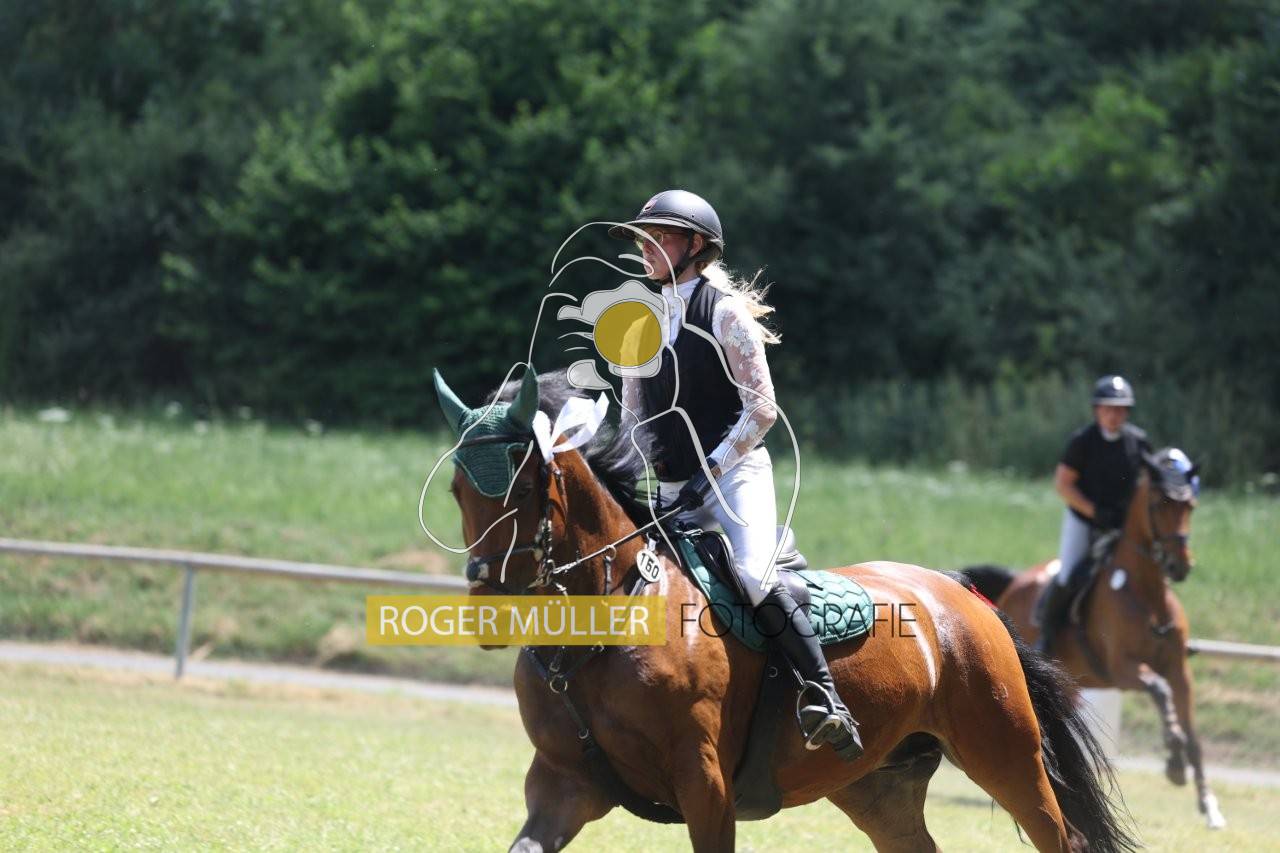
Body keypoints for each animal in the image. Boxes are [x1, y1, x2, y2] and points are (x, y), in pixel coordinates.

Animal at [432, 366, 1136, 852]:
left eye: (527, 484)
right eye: (457, 488)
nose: (489, 607)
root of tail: (961, 592)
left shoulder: (705, 785)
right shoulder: (561, 787)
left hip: (1006, 755)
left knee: (1062, 837)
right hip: (879, 786)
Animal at [960, 449, 1226, 829]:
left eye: (1190, 505)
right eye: (1159, 503)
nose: (1180, 566)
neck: (1147, 595)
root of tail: (1016, 582)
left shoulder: (1179, 670)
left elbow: (1192, 736)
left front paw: (1208, 804)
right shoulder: (1124, 669)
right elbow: (1159, 691)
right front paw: (1173, 762)